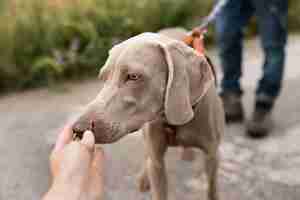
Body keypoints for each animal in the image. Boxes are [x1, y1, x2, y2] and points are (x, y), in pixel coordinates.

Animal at [71, 30, 224, 200]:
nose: (78, 129)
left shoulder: (212, 155)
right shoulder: (157, 163)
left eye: (133, 76)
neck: (171, 121)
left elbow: (212, 190)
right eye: (103, 78)